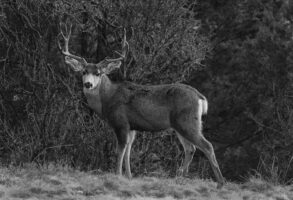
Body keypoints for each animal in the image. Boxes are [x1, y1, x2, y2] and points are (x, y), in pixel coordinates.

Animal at [58, 24, 225, 188]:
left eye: (98, 73)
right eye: (84, 72)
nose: (88, 84)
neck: (108, 98)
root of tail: (200, 97)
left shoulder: (121, 122)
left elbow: (120, 149)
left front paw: (117, 174)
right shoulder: (132, 127)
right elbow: (128, 150)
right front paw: (129, 176)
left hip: (187, 121)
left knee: (207, 146)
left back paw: (220, 182)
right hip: (180, 125)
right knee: (191, 149)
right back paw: (180, 177)